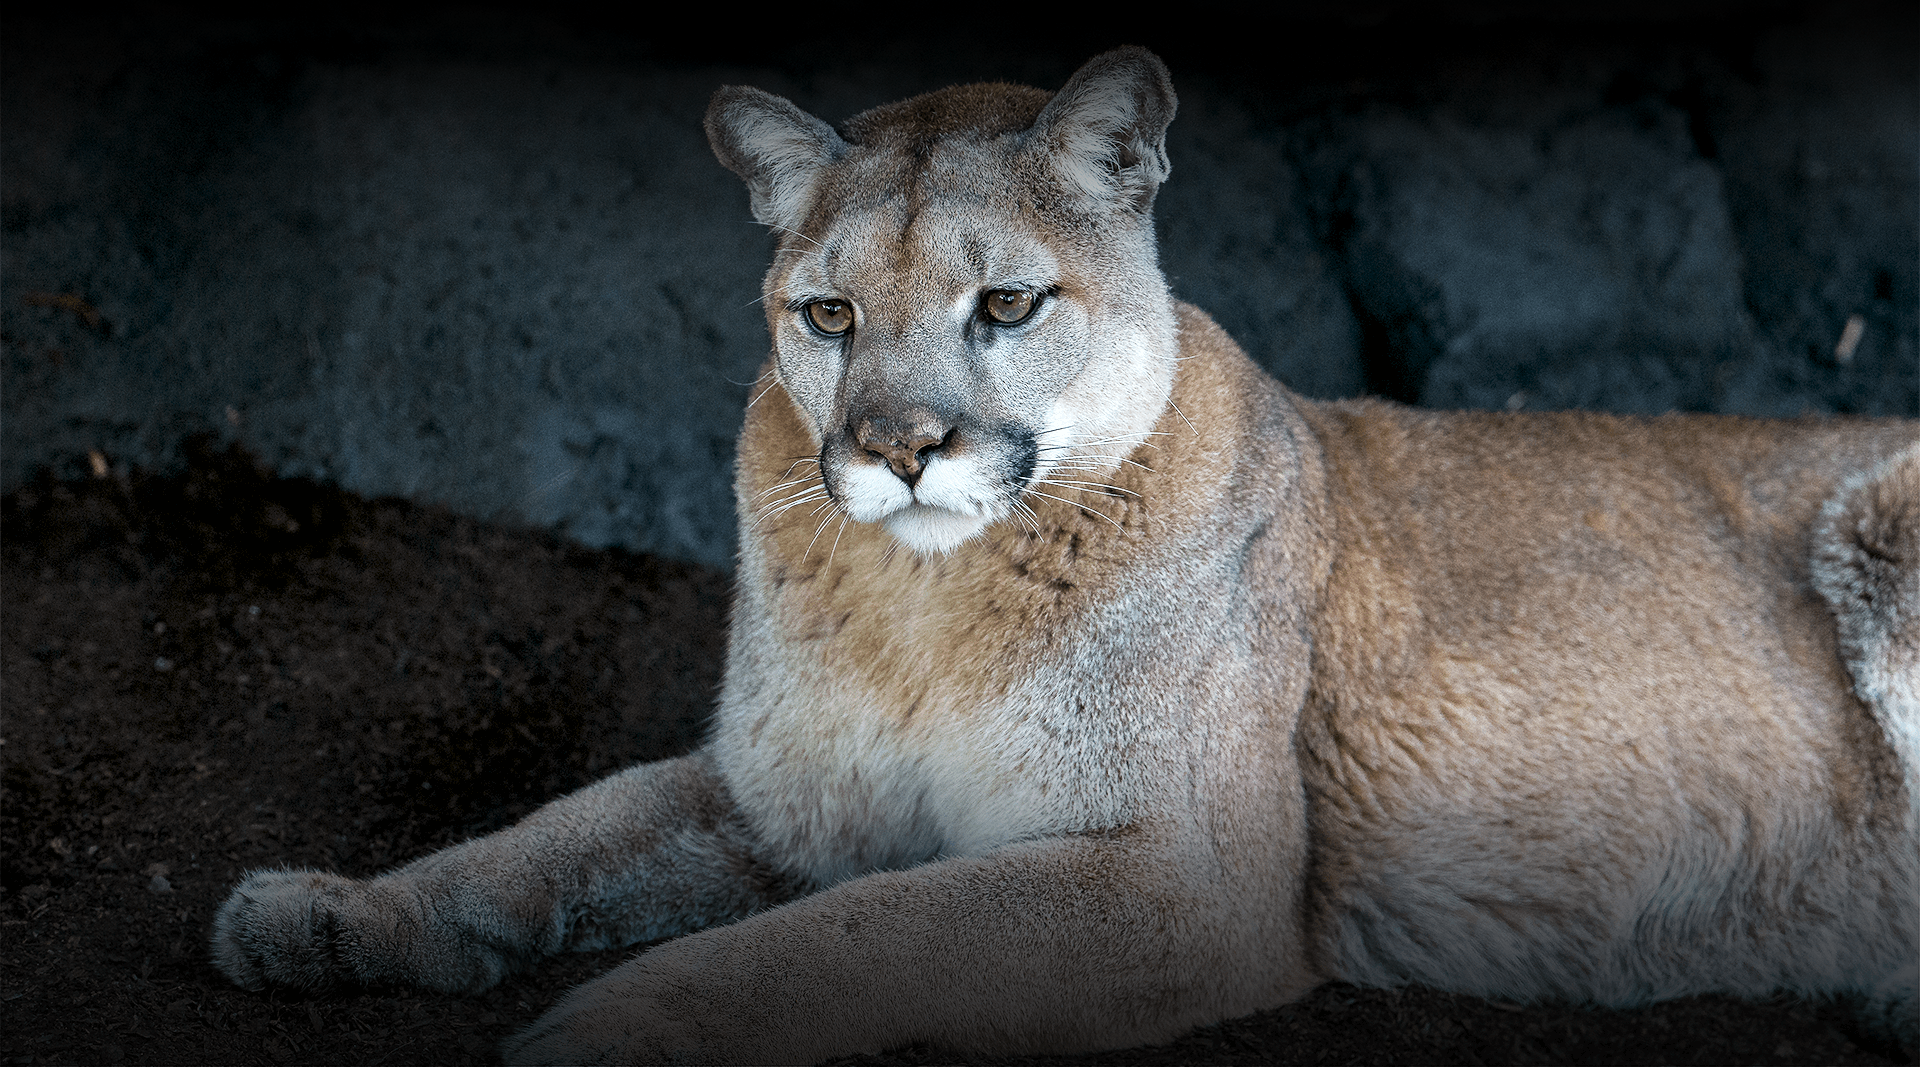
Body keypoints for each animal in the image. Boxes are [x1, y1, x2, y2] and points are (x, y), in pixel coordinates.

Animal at [210, 47, 1919, 1064]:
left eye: (1009, 304)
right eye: (827, 312)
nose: (900, 446)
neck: (919, 594)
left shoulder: (1180, 872)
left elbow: (838, 942)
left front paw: (612, 1029)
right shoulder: (777, 795)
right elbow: (542, 840)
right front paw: (327, 912)